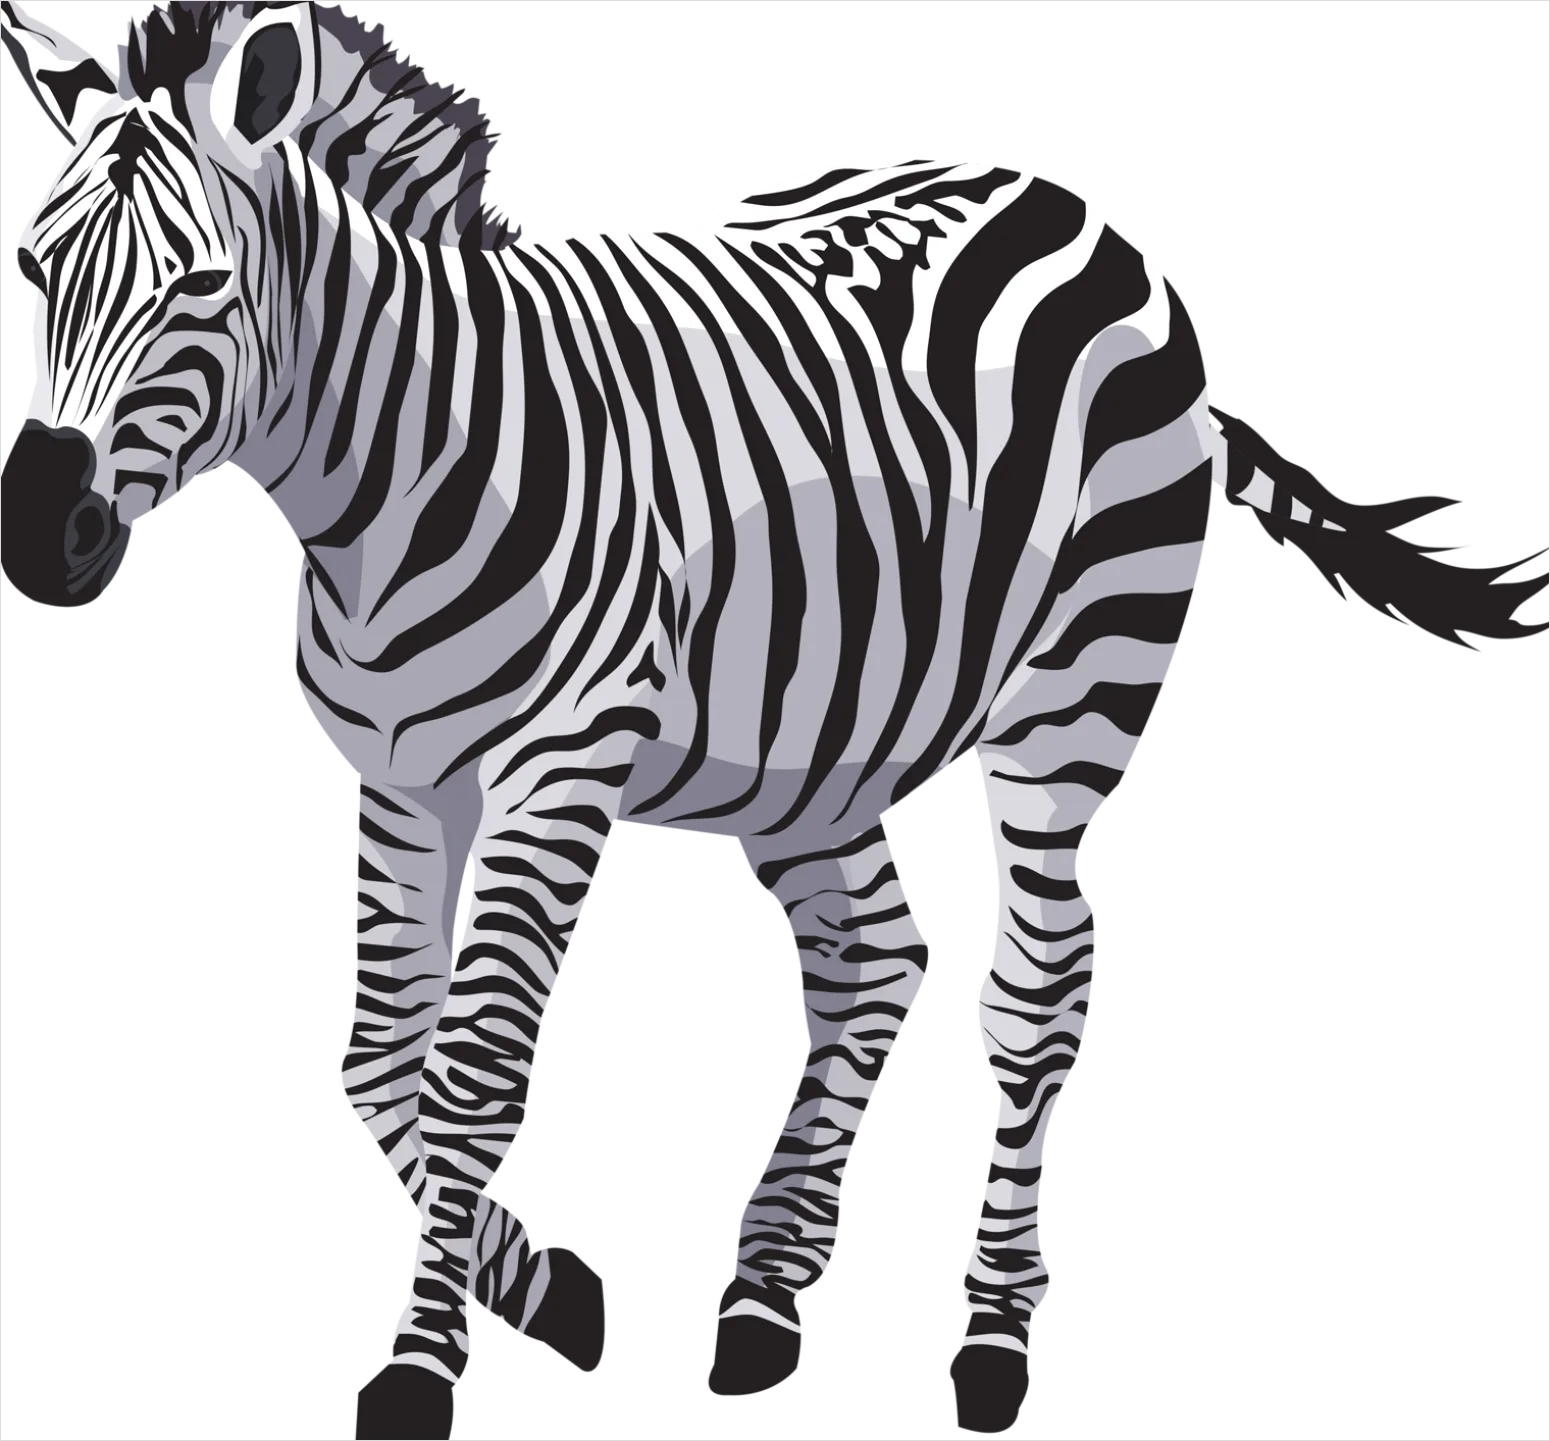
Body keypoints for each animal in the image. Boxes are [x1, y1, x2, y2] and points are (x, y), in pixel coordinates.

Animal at [5, 4, 1489, 1438]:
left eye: (203, 289)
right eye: (31, 274)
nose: (39, 537)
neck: (388, 481)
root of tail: (1069, 206)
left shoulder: (555, 773)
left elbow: (467, 1071)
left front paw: (424, 1371)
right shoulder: (394, 776)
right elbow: (378, 1065)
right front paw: (557, 1299)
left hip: (1072, 686)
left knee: (1034, 994)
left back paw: (992, 1339)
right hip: (808, 740)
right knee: (873, 960)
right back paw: (768, 1304)